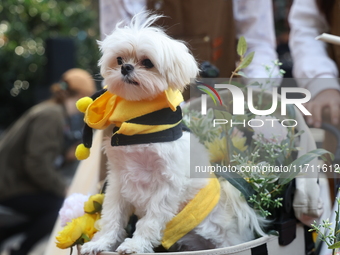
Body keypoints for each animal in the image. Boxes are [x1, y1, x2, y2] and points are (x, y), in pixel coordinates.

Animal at [80, 12, 266, 255]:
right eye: (119, 60)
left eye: (147, 62)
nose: (126, 67)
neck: (139, 122)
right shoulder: (119, 181)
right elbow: (112, 216)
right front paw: (101, 242)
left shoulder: (166, 185)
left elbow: (150, 221)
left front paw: (135, 245)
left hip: (226, 237)